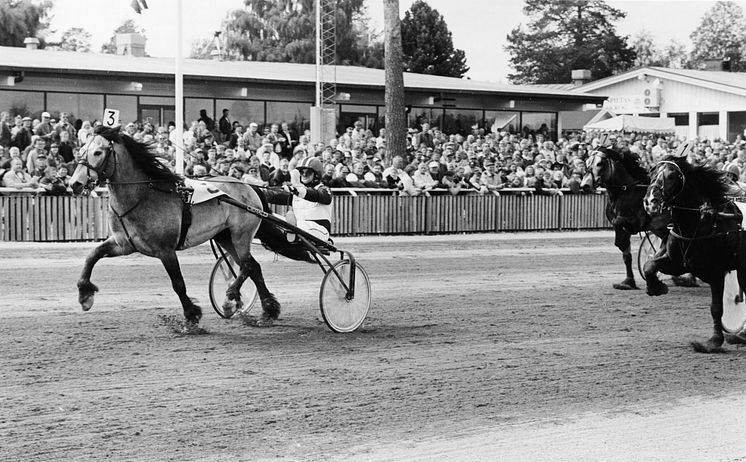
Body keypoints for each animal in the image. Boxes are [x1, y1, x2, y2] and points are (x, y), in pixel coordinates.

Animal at [70, 126, 300, 328]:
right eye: (81, 151)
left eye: (98, 152)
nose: (75, 184)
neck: (143, 195)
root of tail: (249, 187)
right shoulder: (124, 245)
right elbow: (92, 255)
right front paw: (84, 294)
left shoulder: (165, 250)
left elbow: (178, 283)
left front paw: (191, 316)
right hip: (224, 236)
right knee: (253, 267)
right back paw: (267, 310)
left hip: (240, 235)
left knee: (247, 266)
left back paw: (232, 298)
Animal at [580, 145, 672, 288]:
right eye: (587, 162)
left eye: (599, 164)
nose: (585, 185)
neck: (625, 191)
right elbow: (625, 252)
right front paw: (628, 281)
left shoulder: (636, 223)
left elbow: (619, 222)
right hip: (658, 227)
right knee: (665, 239)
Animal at [640, 153, 744, 352]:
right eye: (652, 173)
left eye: (672, 176)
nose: (650, 202)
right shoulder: (678, 262)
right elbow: (649, 265)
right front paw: (656, 287)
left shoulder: (717, 271)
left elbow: (716, 308)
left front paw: (713, 341)